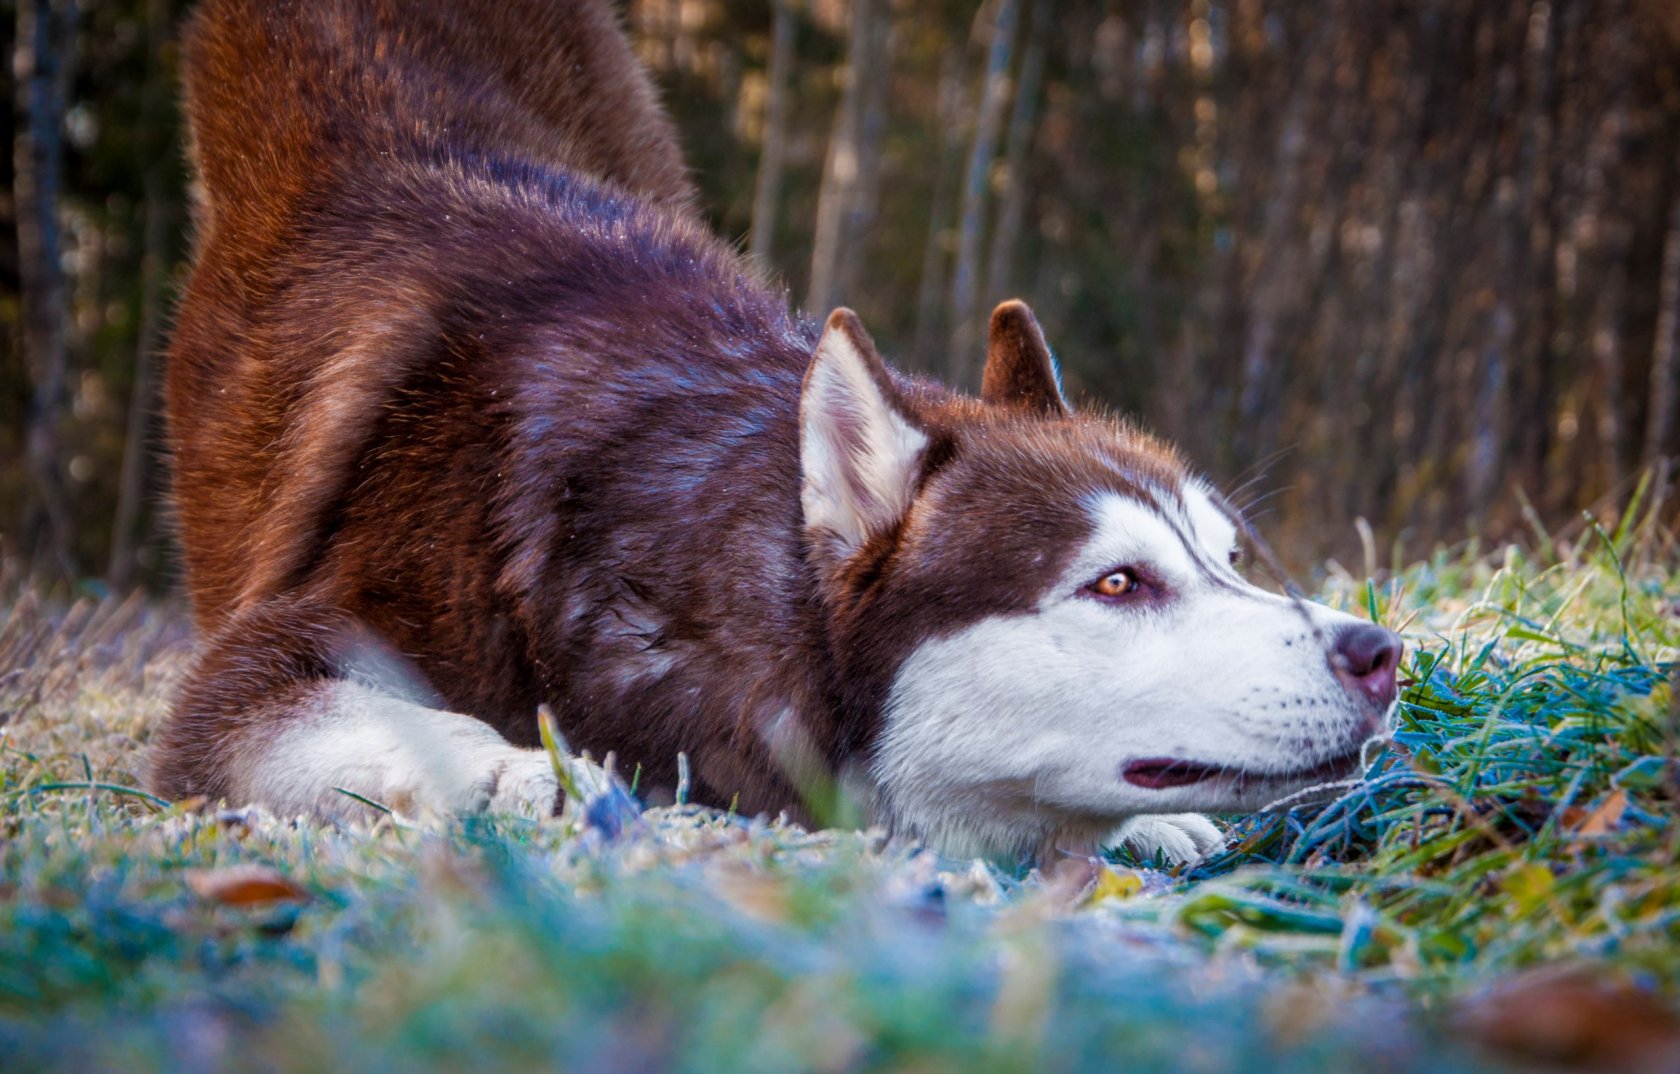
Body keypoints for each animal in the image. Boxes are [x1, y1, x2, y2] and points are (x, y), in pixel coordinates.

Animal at [154, 0, 1404, 860]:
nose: (1382, 651)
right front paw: (524, 773)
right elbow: (362, 721)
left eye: (1228, 557)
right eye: (1117, 584)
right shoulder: (267, 664)